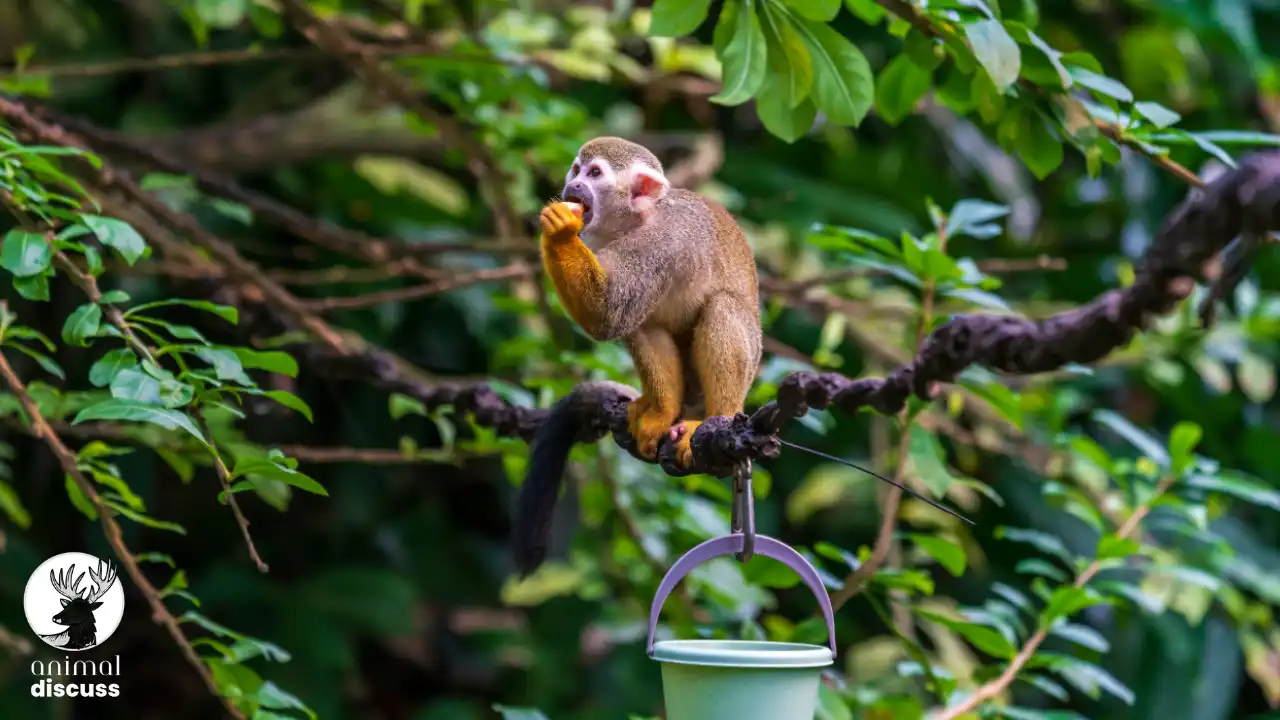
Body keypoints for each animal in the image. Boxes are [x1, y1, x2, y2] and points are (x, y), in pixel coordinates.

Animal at [512, 137, 762, 576]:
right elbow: (617, 316)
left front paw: (558, 232)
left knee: (721, 307)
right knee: (645, 322)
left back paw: (716, 418)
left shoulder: (663, 241)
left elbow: (609, 313)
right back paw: (662, 409)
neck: (635, 223)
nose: (573, 187)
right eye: (575, 169)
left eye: (594, 173)